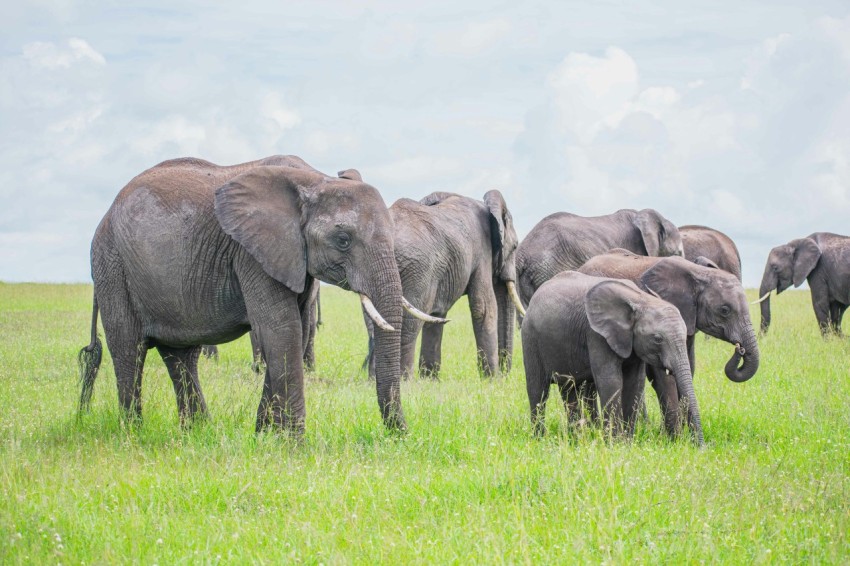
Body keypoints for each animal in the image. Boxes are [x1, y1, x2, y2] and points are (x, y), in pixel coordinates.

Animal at [77, 154, 418, 434]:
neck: (315, 179)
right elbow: (282, 330)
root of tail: (106, 214)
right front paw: (293, 445)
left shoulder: (294, 259)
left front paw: (263, 436)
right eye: (343, 239)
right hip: (113, 265)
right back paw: (133, 432)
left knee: (180, 356)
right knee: (128, 349)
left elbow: (293, 331)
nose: (400, 435)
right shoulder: (252, 253)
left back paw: (198, 431)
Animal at [363, 189, 524, 379]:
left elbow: (437, 314)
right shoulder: (482, 251)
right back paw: (405, 380)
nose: (506, 375)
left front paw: (429, 380)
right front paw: (492, 380)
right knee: (409, 326)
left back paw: (373, 381)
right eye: (515, 246)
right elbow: (484, 308)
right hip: (417, 271)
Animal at [522, 271, 702, 444]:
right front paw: (615, 443)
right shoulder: (596, 334)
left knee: (568, 390)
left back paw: (575, 439)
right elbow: (611, 381)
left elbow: (634, 382)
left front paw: (627, 443)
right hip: (530, 338)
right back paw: (539, 439)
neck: (640, 299)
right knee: (538, 391)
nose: (700, 447)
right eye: (657, 338)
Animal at [578, 249, 759, 435]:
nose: (739, 349)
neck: (698, 273)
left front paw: (686, 433)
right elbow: (664, 375)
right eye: (724, 310)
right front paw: (676, 437)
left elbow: (688, 367)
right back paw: (593, 428)